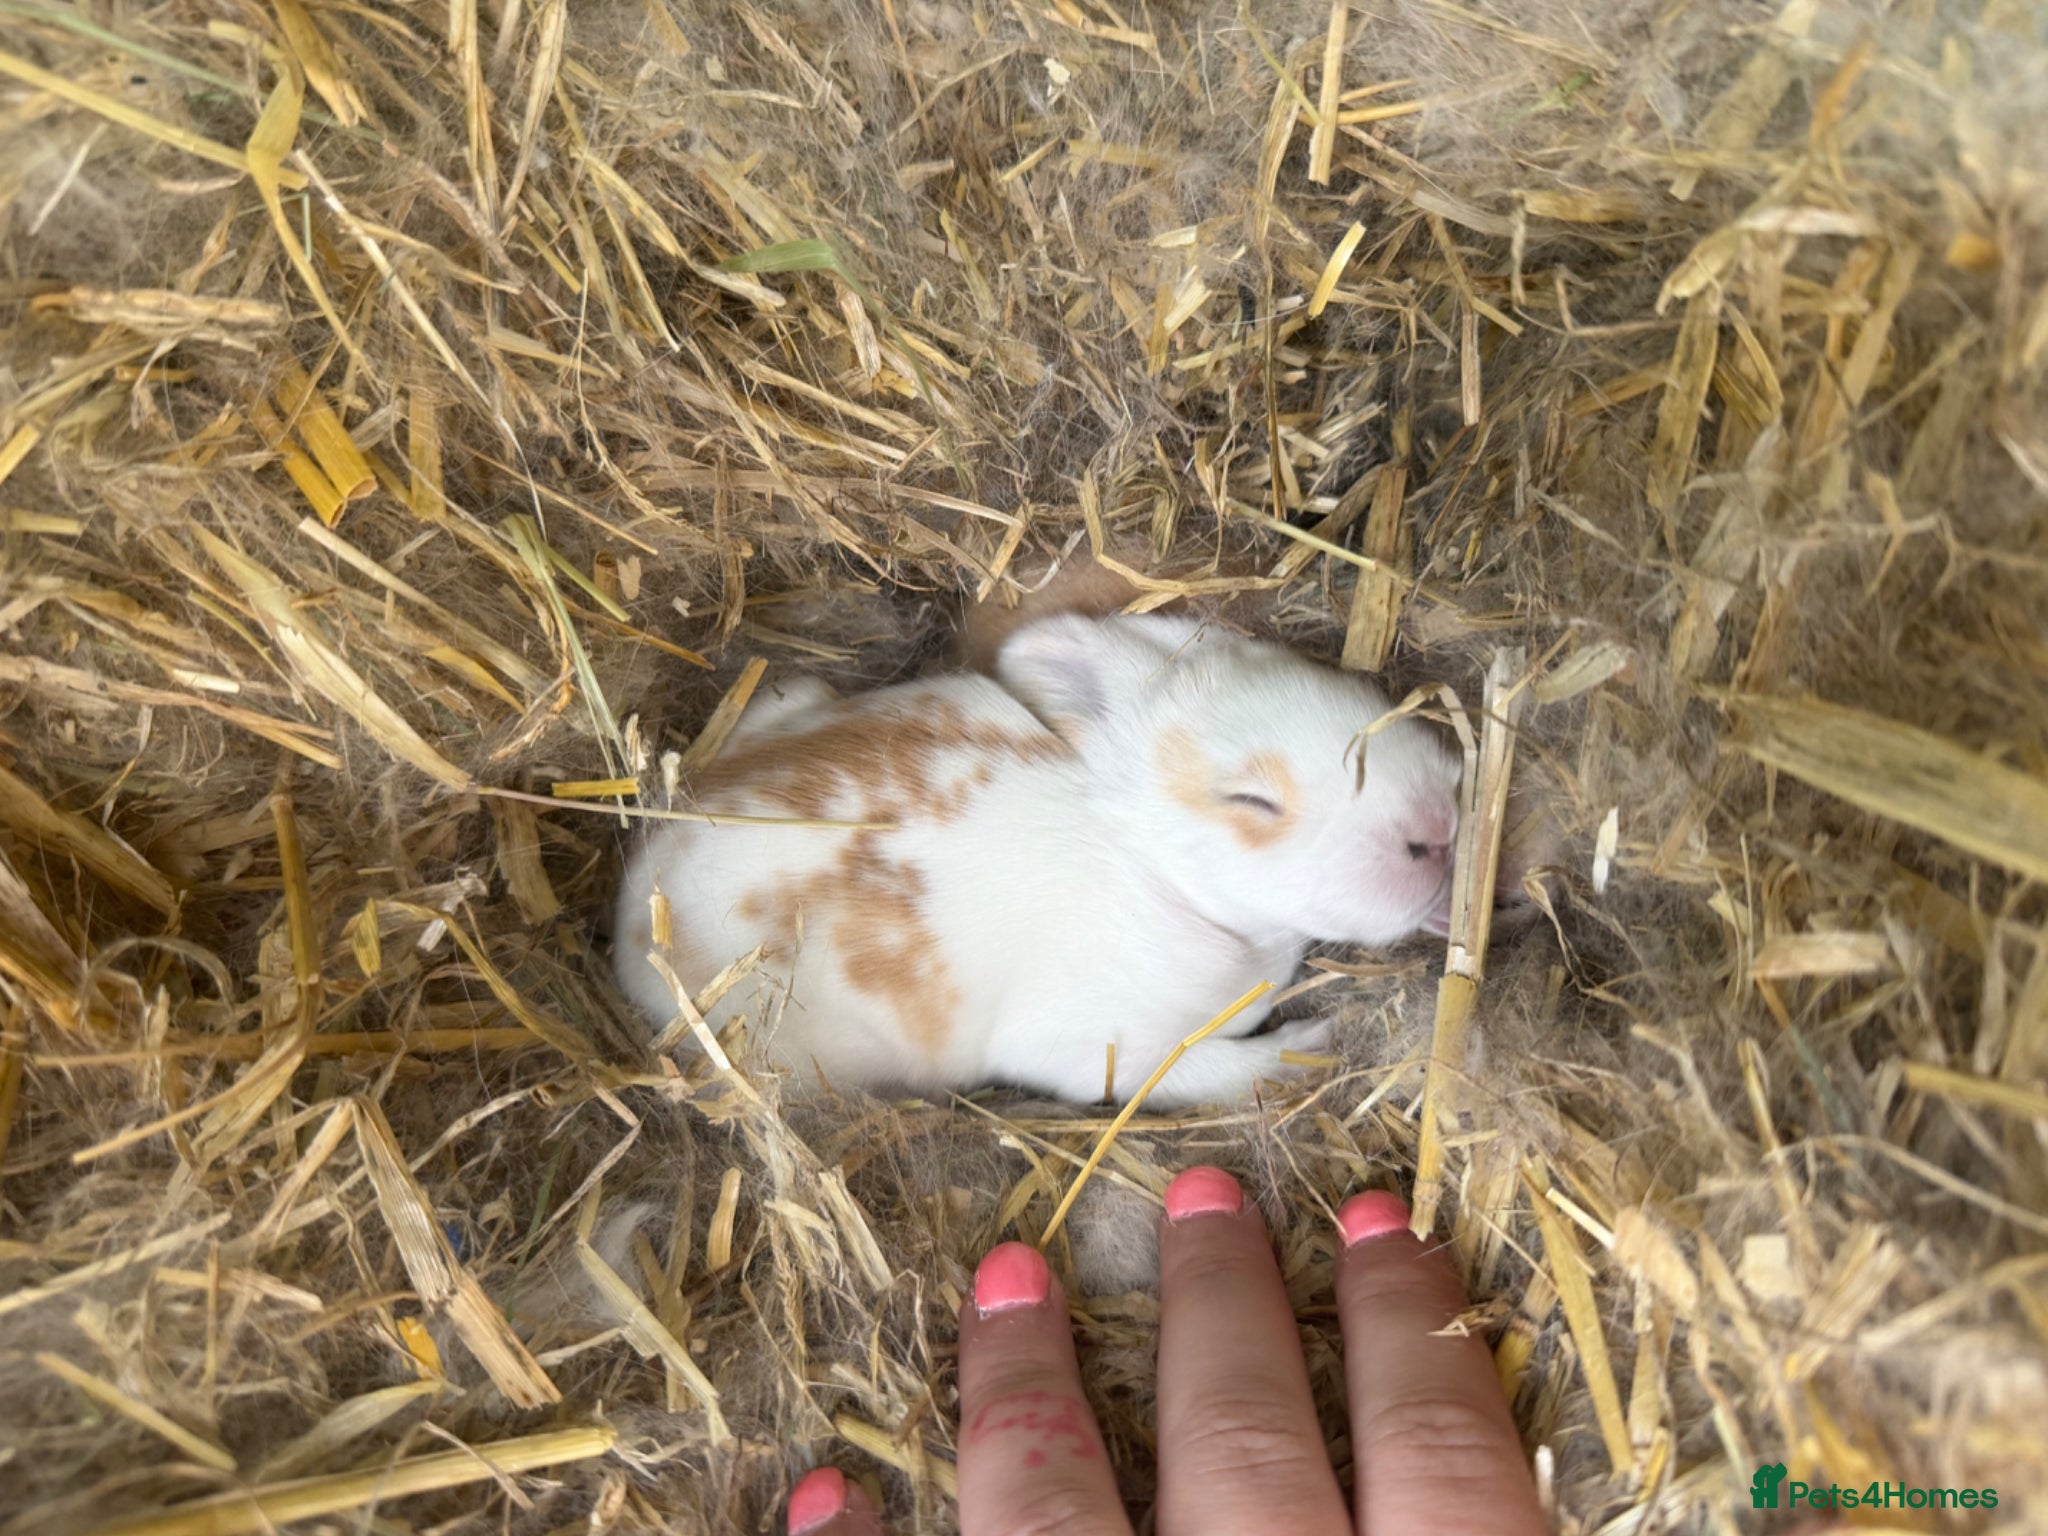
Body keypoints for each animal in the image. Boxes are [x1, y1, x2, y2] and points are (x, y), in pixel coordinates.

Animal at [612, 611, 1462, 1109]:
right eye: (1251, 801)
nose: (1436, 827)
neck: (1152, 870)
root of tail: (631, 910)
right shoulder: (1096, 1052)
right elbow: (1201, 1072)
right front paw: (1315, 1043)